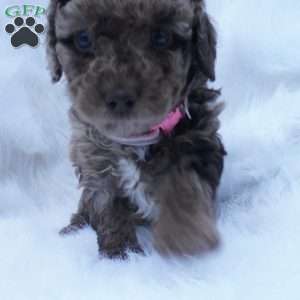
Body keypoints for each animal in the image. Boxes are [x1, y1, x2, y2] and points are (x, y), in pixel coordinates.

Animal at [46, 0, 225, 258]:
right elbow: (107, 204)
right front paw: (120, 253)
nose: (120, 97)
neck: (137, 137)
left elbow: (183, 183)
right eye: (83, 39)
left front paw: (184, 236)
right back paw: (72, 228)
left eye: (161, 37)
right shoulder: (93, 156)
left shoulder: (197, 139)